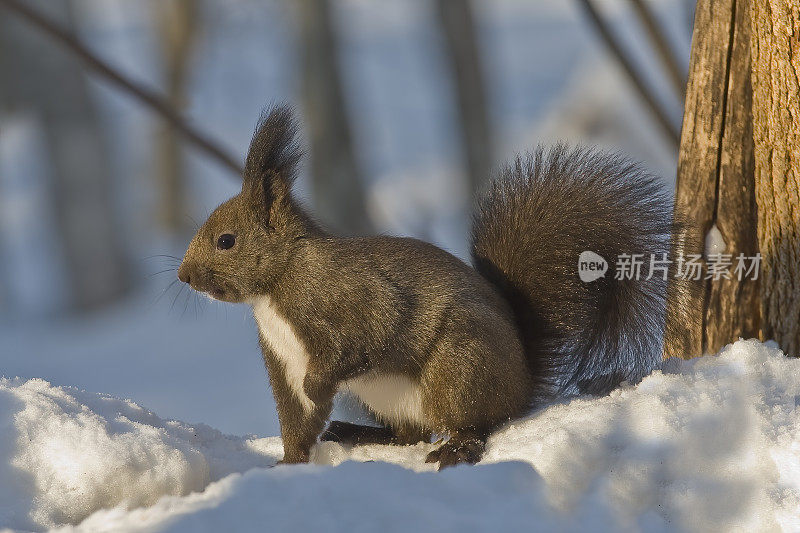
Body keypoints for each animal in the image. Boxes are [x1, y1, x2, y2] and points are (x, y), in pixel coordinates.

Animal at [178, 106, 692, 468]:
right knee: (409, 433)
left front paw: (320, 385)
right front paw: (289, 463)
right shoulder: (281, 360)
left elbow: (366, 333)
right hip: (392, 397)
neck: (276, 286)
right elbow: (296, 418)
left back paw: (456, 447)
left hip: (459, 367)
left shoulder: (350, 298)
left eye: (226, 241)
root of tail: (522, 384)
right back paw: (363, 433)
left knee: (472, 426)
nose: (183, 277)